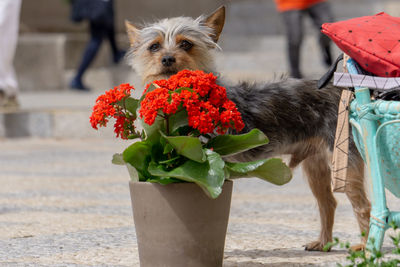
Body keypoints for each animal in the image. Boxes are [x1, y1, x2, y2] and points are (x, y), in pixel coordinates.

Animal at [126, 6, 372, 253]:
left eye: (186, 44)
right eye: (154, 47)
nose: (167, 58)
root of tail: (344, 90)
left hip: (344, 161)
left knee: (364, 205)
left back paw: (365, 247)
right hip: (316, 164)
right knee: (328, 202)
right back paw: (324, 243)